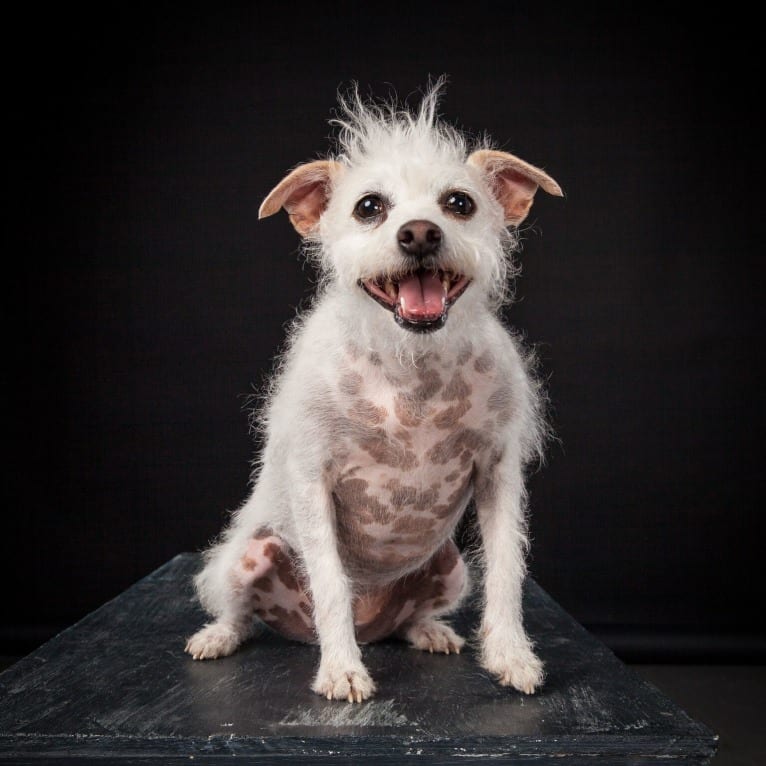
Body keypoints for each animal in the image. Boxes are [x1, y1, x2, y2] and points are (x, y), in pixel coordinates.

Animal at [186, 81, 564, 704]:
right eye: (369, 207)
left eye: (459, 203)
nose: (420, 233)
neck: (411, 370)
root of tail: (373, 624)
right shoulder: (312, 480)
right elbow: (331, 584)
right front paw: (342, 668)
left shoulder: (499, 475)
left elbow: (507, 571)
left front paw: (511, 656)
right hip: (243, 558)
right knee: (241, 610)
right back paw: (220, 636)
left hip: (450, 569)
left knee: (413, 616)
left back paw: (427, 630)